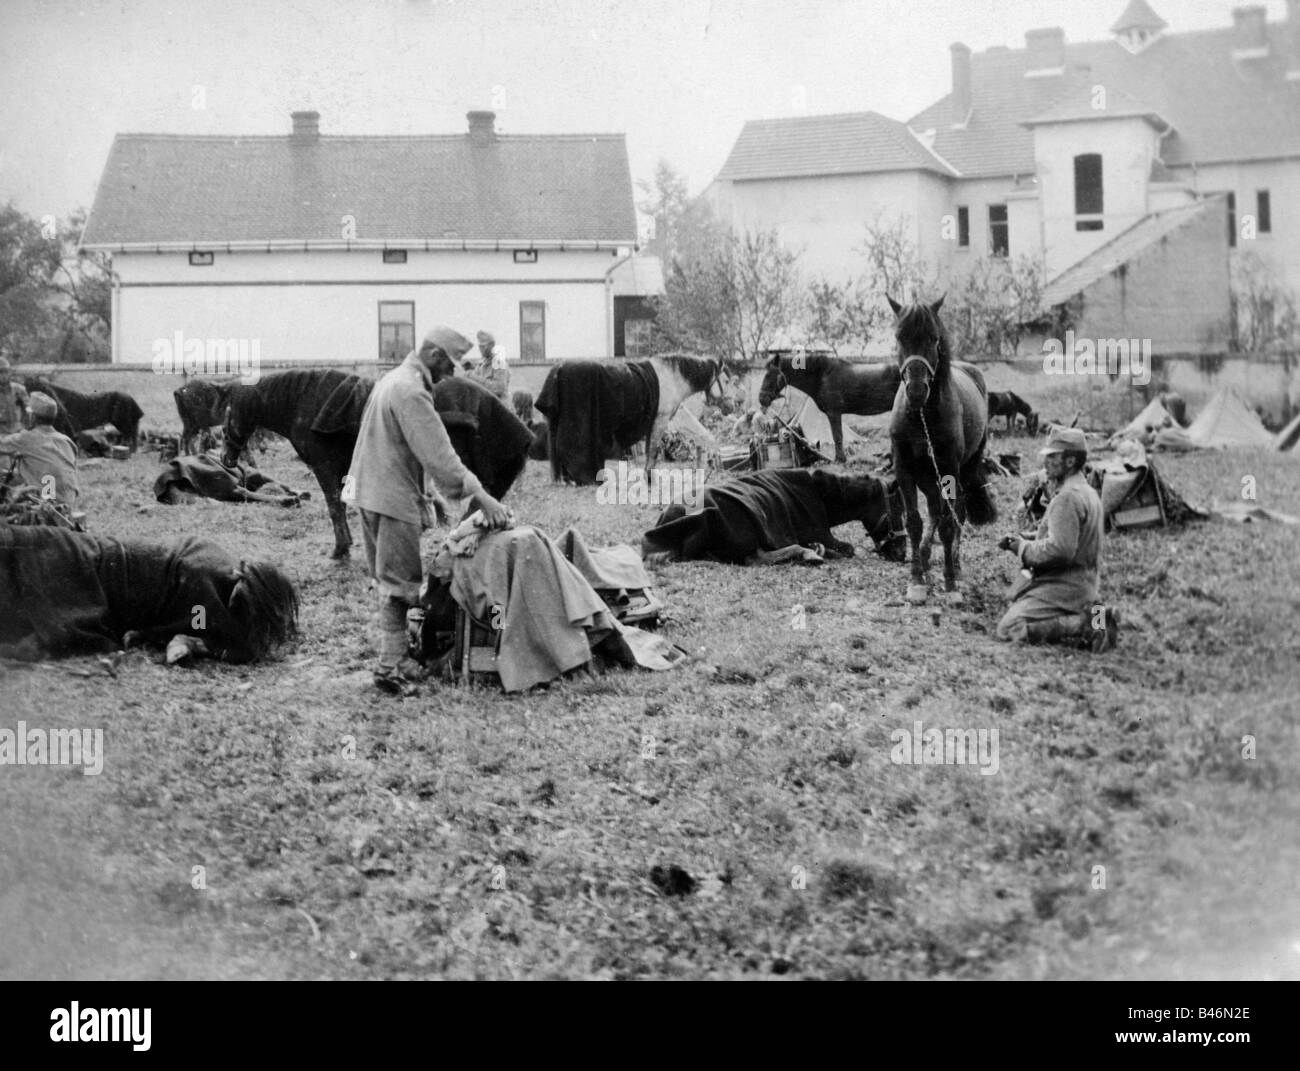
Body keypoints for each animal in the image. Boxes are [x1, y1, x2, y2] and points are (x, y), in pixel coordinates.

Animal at [533, 353, 728, 483]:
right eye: (726, 381)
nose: (730, 407)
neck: (672, 378)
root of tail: (558, 368)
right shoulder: (660, 421)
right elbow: (653, 452)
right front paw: (648, 479)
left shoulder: (661, 421)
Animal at [759, 350, 899, 460]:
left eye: (770, 375)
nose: (761, 399)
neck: (822, 376)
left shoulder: (834, 413)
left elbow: (837, 436)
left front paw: (840, 459)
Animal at [889, 297, 998, 605]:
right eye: (899, 338)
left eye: (934, 338)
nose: (916, 391)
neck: (921, 416)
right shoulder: (904, 469)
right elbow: (914, 522)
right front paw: (916, 579)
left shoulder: (949, 469)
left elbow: (949, 523)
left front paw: (949, 582)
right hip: (928, 476)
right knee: (935, 510)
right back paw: (926, 560)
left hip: (965, 469)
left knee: (956, 510)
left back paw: (956, 566)